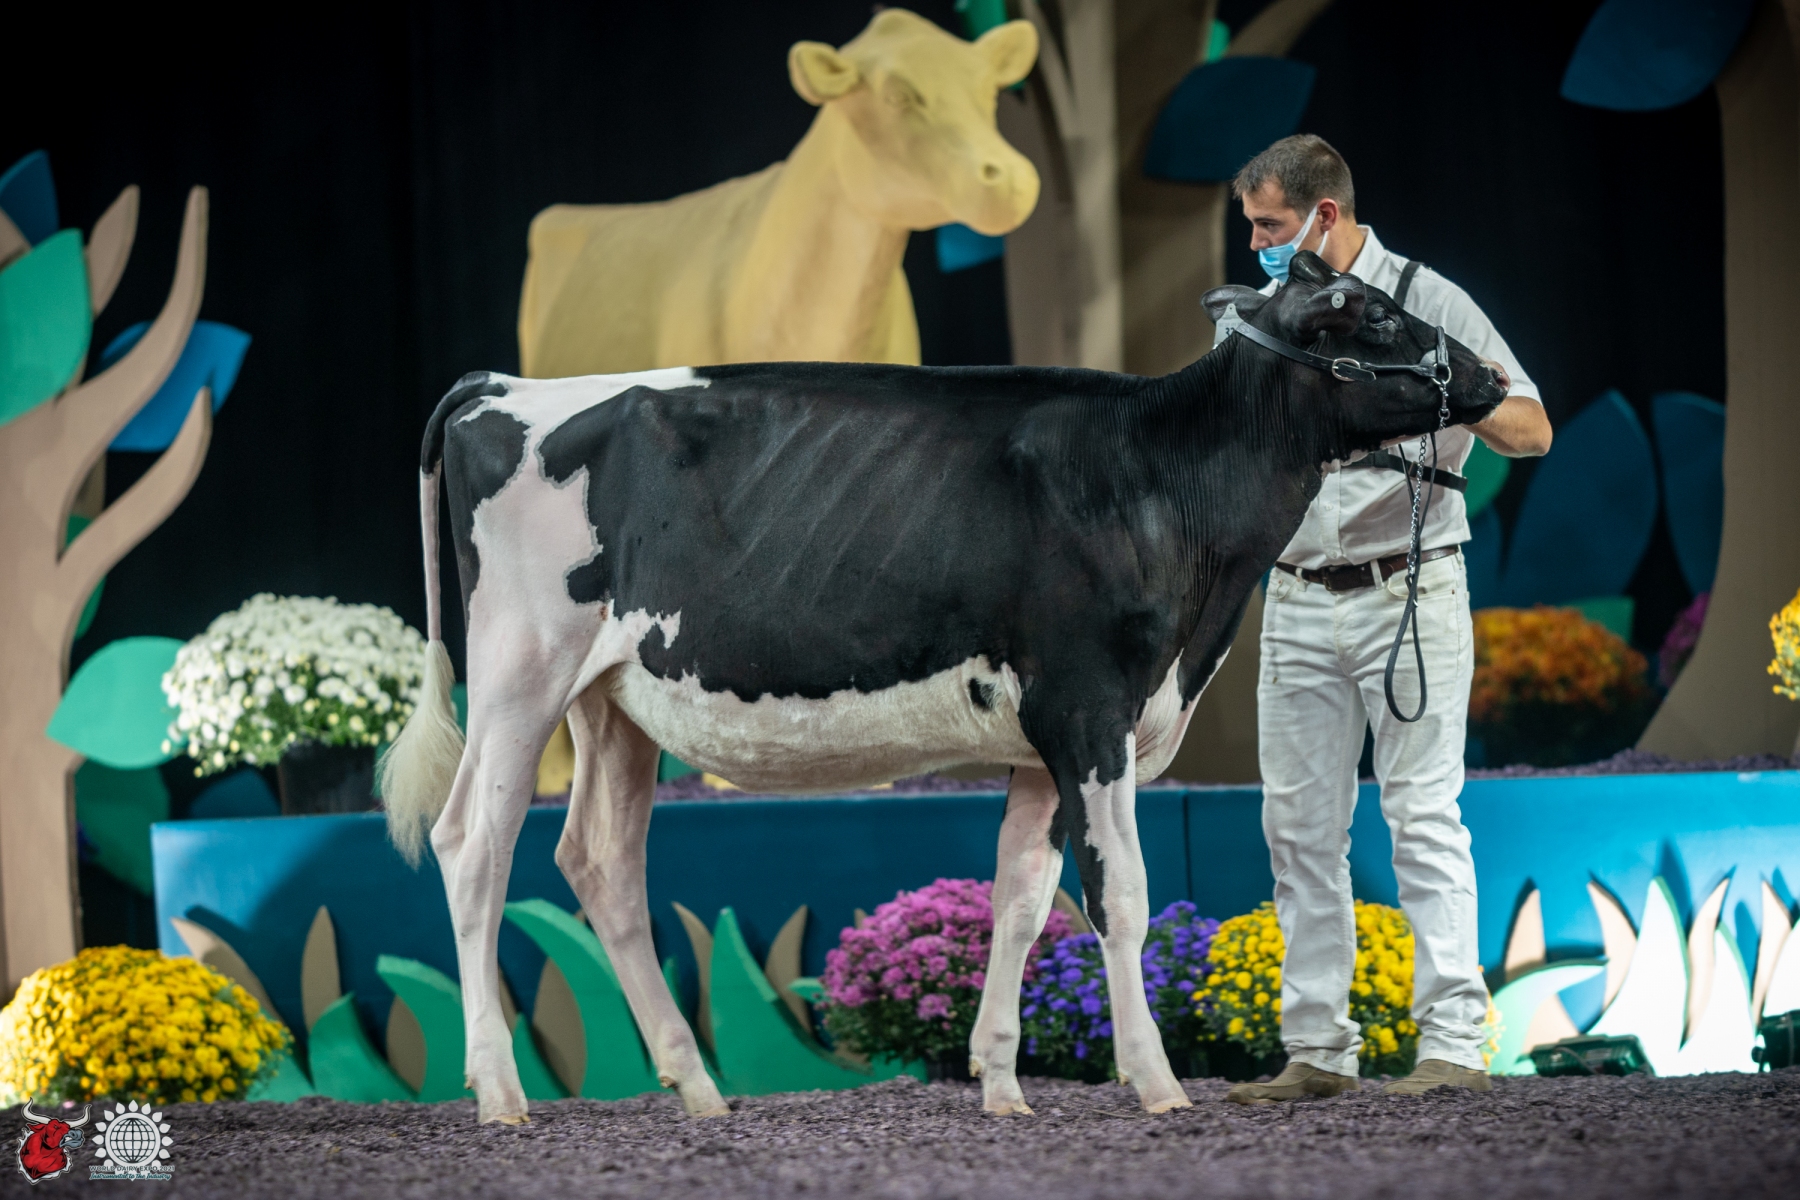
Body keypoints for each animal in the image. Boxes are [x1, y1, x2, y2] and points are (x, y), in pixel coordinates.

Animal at [381, 250, 1506, 1125]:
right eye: (1366, 313)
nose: (1492, 374)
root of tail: (503, 387)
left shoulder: (1041, 743)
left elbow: (1020, 901)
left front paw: (1000, 1084)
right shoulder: (1091, 710)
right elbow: (1120, 897)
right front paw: (1156, 1083)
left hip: (611, 699)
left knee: (601, 861)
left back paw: (696, 1088)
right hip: (521, 668)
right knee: (472, 844)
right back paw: (500, 1092)